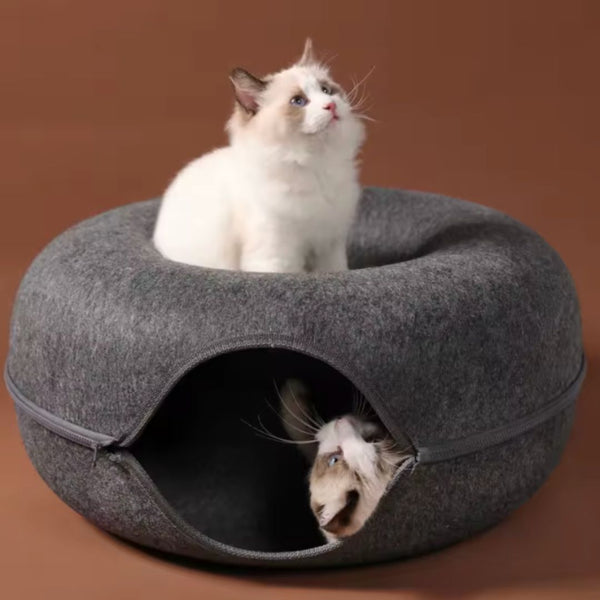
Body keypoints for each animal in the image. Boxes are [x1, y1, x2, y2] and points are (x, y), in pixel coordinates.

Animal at [153, 39, 366, 273]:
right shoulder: (275, 253)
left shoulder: (329, 245)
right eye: (298, 101)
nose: (331, 105)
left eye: (326, 90)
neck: (316, 165)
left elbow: (334, 270)